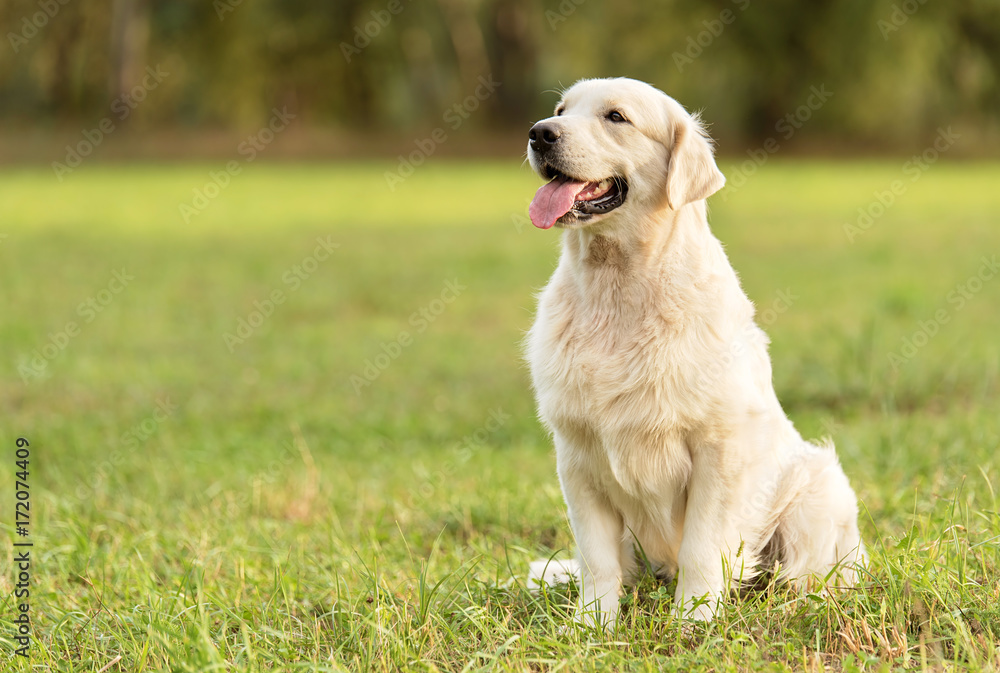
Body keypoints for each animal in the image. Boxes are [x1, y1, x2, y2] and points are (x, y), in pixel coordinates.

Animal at [528, 77, 864, 624]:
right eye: (560, 110)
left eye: (616, 117)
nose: (539, 133)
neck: (618, 289)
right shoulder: (577, 454)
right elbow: (597, 559)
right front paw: (592, 624)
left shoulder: (719, 449)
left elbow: (703, 548)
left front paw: (695, 619)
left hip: (818, 488)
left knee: (808, 575)